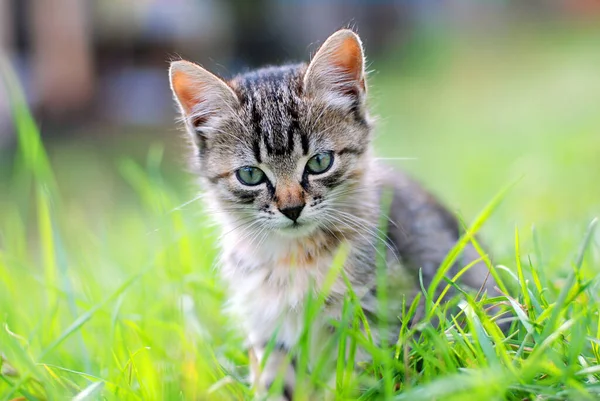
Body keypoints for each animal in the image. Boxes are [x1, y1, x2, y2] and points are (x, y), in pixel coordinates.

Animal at [168, 29, 496, 398]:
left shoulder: (376, 318)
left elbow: (361, 377)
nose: (291, 208)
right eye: (250, 175)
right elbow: (276, 381)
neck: (295, 258)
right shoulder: (269, 328)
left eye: (320, 162)